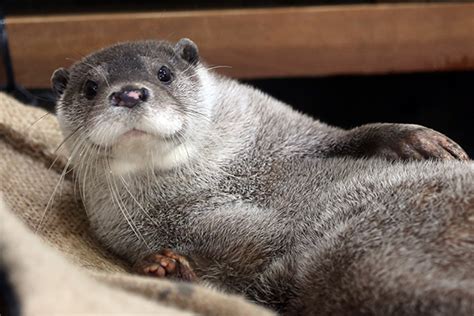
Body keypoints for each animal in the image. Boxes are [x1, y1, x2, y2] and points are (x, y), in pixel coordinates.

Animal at [52, 38, 474, 314]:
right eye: (90, 87)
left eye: (164, 73)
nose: (129, 94)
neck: (229, 176)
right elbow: (242, 284)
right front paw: (164, 269)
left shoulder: (288, 131)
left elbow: (344, 136)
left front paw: (418, 140)